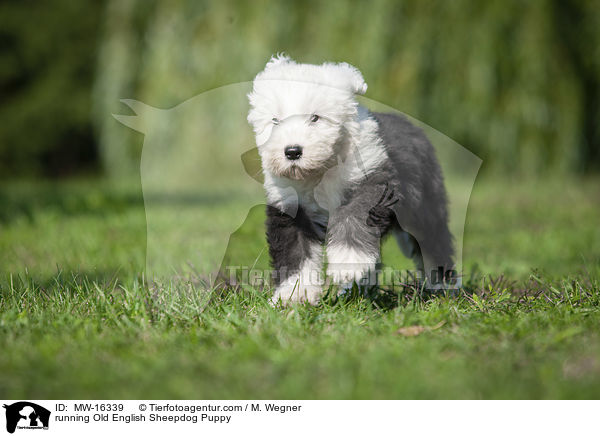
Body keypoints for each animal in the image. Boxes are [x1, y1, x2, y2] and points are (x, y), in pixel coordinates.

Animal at [246, 54, 452, 304]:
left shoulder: (370, 181)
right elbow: (296, 252)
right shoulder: (290, 207)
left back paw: (441, 285)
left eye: (315, 118)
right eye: (275, 121)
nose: (292, 151)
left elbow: (354, 217)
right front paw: (294, 295)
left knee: (434, 241)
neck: (320, 173)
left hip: (425, 205)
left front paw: (347, 262)